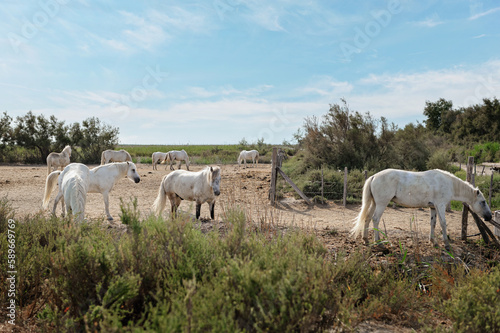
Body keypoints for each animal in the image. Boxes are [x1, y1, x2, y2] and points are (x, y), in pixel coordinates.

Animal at [352, 169, 492, 249]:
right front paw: (446, 243)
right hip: (381, 203)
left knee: (367, 218)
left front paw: (433, 242)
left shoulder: (433, 207)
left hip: (375, 203)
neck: (449, 184)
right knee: (375, 219)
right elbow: (443, 223)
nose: (489, 217)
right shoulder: (440, 205)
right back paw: (378, 242)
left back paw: (365, 239)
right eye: (483, 202)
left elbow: (433, 223)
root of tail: (374, 176)